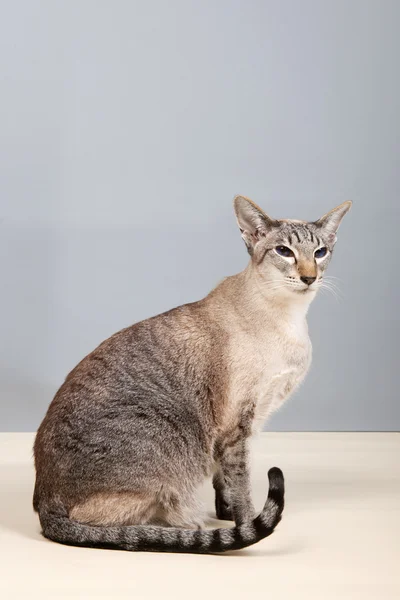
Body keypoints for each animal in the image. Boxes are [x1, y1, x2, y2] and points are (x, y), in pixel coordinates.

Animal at [33, 196, 350, 552]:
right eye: (284, 251)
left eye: (320, 252)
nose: (309, 277)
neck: (290, 319)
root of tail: (44, 504)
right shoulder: (236, 425)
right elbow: (241, 486)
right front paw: (246, 524)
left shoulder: (242, 424)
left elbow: (223, 482)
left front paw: (227, 516)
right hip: (165, 436)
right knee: (111, 526)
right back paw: (179, 526)